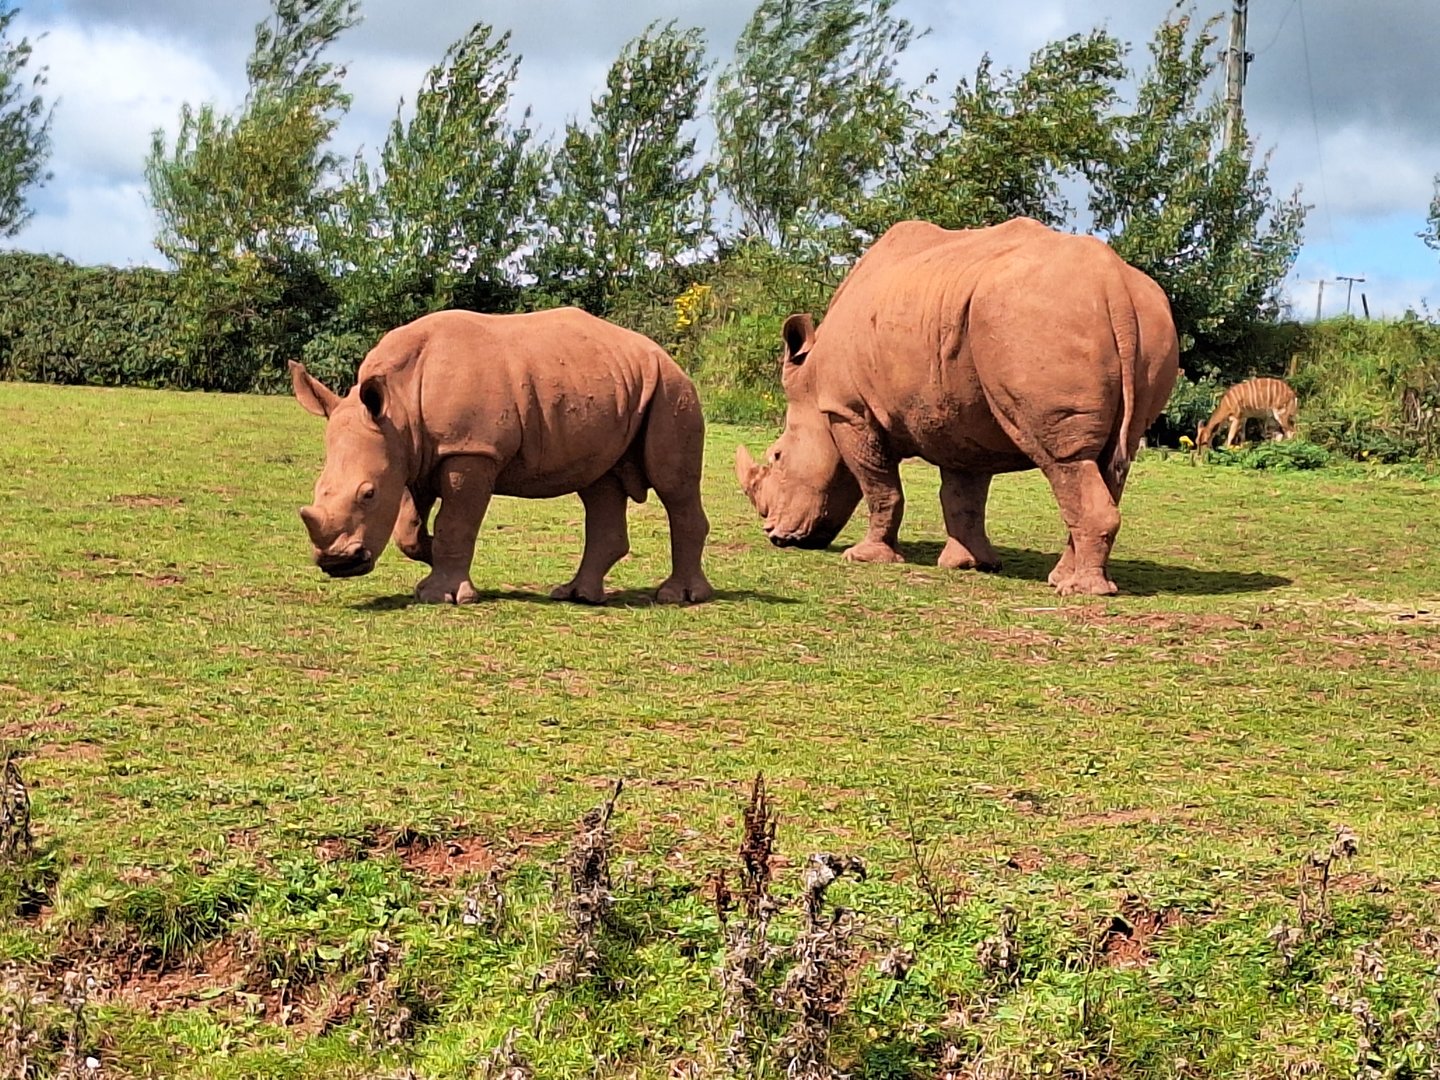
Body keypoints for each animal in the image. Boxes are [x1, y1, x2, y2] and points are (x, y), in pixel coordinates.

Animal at [291, 307, 713, 605]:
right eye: (318, 488)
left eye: (368, 494)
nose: (336, 564)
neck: (399, 404)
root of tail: (666, 354)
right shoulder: (411, 452)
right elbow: (408, 529)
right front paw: (428, 557)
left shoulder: (471, 450)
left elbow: (454, 523)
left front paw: (442, 594)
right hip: (610, 386)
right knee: (598, 484)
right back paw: (577, 595)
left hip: (671, 388)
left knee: (672, 484)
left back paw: (679, 597)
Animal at [735, 218, 1180, 596]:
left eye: (777, 456)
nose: (774, 535)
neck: (813, 387)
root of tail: (1113, 284)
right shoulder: (956, 420)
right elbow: (962, 496)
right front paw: (969, 565)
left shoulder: (849, 411)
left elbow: (880, 488)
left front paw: (865, 557)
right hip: (1139, 321)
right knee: (1108, 462)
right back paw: (1061, 579)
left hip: (1036, 318)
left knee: (1064, 462)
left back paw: (1079, 591)